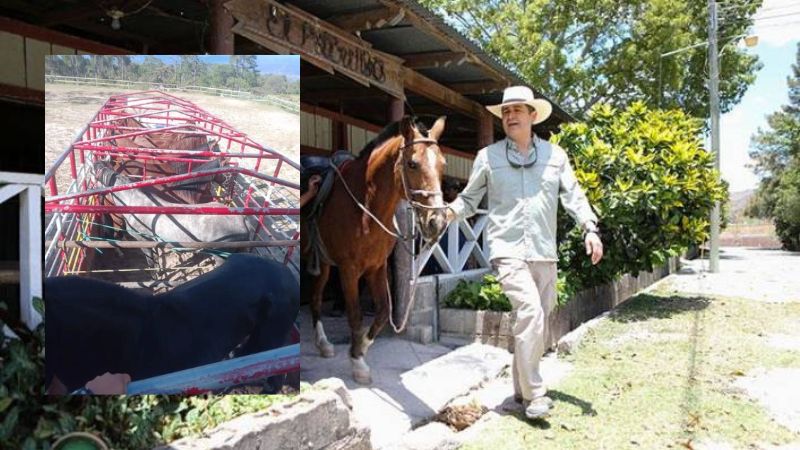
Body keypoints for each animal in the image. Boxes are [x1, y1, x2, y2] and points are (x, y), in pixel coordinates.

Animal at [302, 115, 450, 384]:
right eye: (412, 164)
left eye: (443, 164)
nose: (437, 222)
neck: (365, 207)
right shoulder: (349, 271)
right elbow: (356, 315)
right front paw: (357, 363)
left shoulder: (376, 267)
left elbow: (383, 312)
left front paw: (360, 348)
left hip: (324, 263)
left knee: (316, 298)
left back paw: (323, 344)